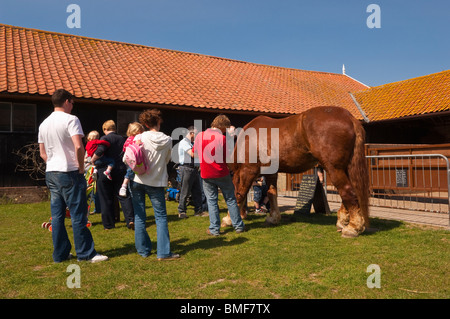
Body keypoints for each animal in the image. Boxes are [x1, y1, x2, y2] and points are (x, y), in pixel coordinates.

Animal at [223, 106, 370, 239]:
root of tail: (349, 117)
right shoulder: (271, 173)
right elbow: (271, 193)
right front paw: (273, 218)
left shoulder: (248, 170)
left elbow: (239, 194)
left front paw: (228, 219)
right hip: (345, 168)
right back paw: (343, 221)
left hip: (334, 169)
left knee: (347, 192)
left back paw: (353, 228)